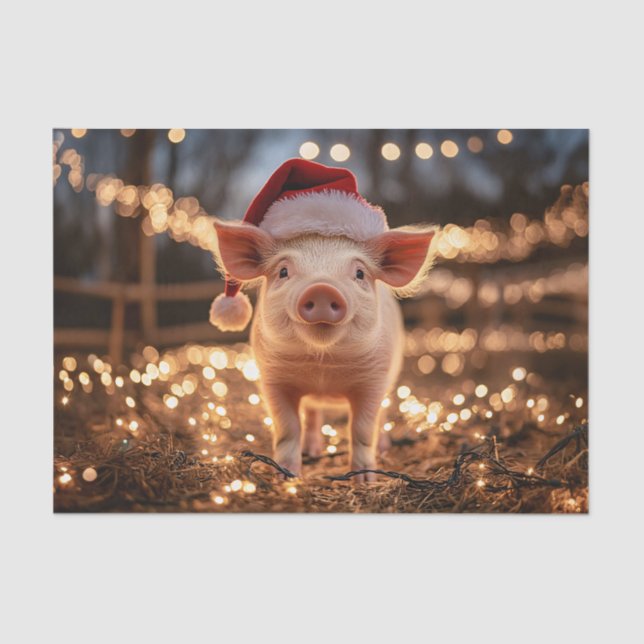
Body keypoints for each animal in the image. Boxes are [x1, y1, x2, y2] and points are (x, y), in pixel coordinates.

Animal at [213, 219, 437, 482]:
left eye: (359, 273)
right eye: (283, 271)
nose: (321, 289)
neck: (322, 367)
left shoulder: (375, 380)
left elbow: (362, 429)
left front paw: (364, 481)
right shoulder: (272, 379)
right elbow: (288, 427)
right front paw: (286, 477)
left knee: (382, 415)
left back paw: (383, 448)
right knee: (312, 415)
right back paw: (312, 451)